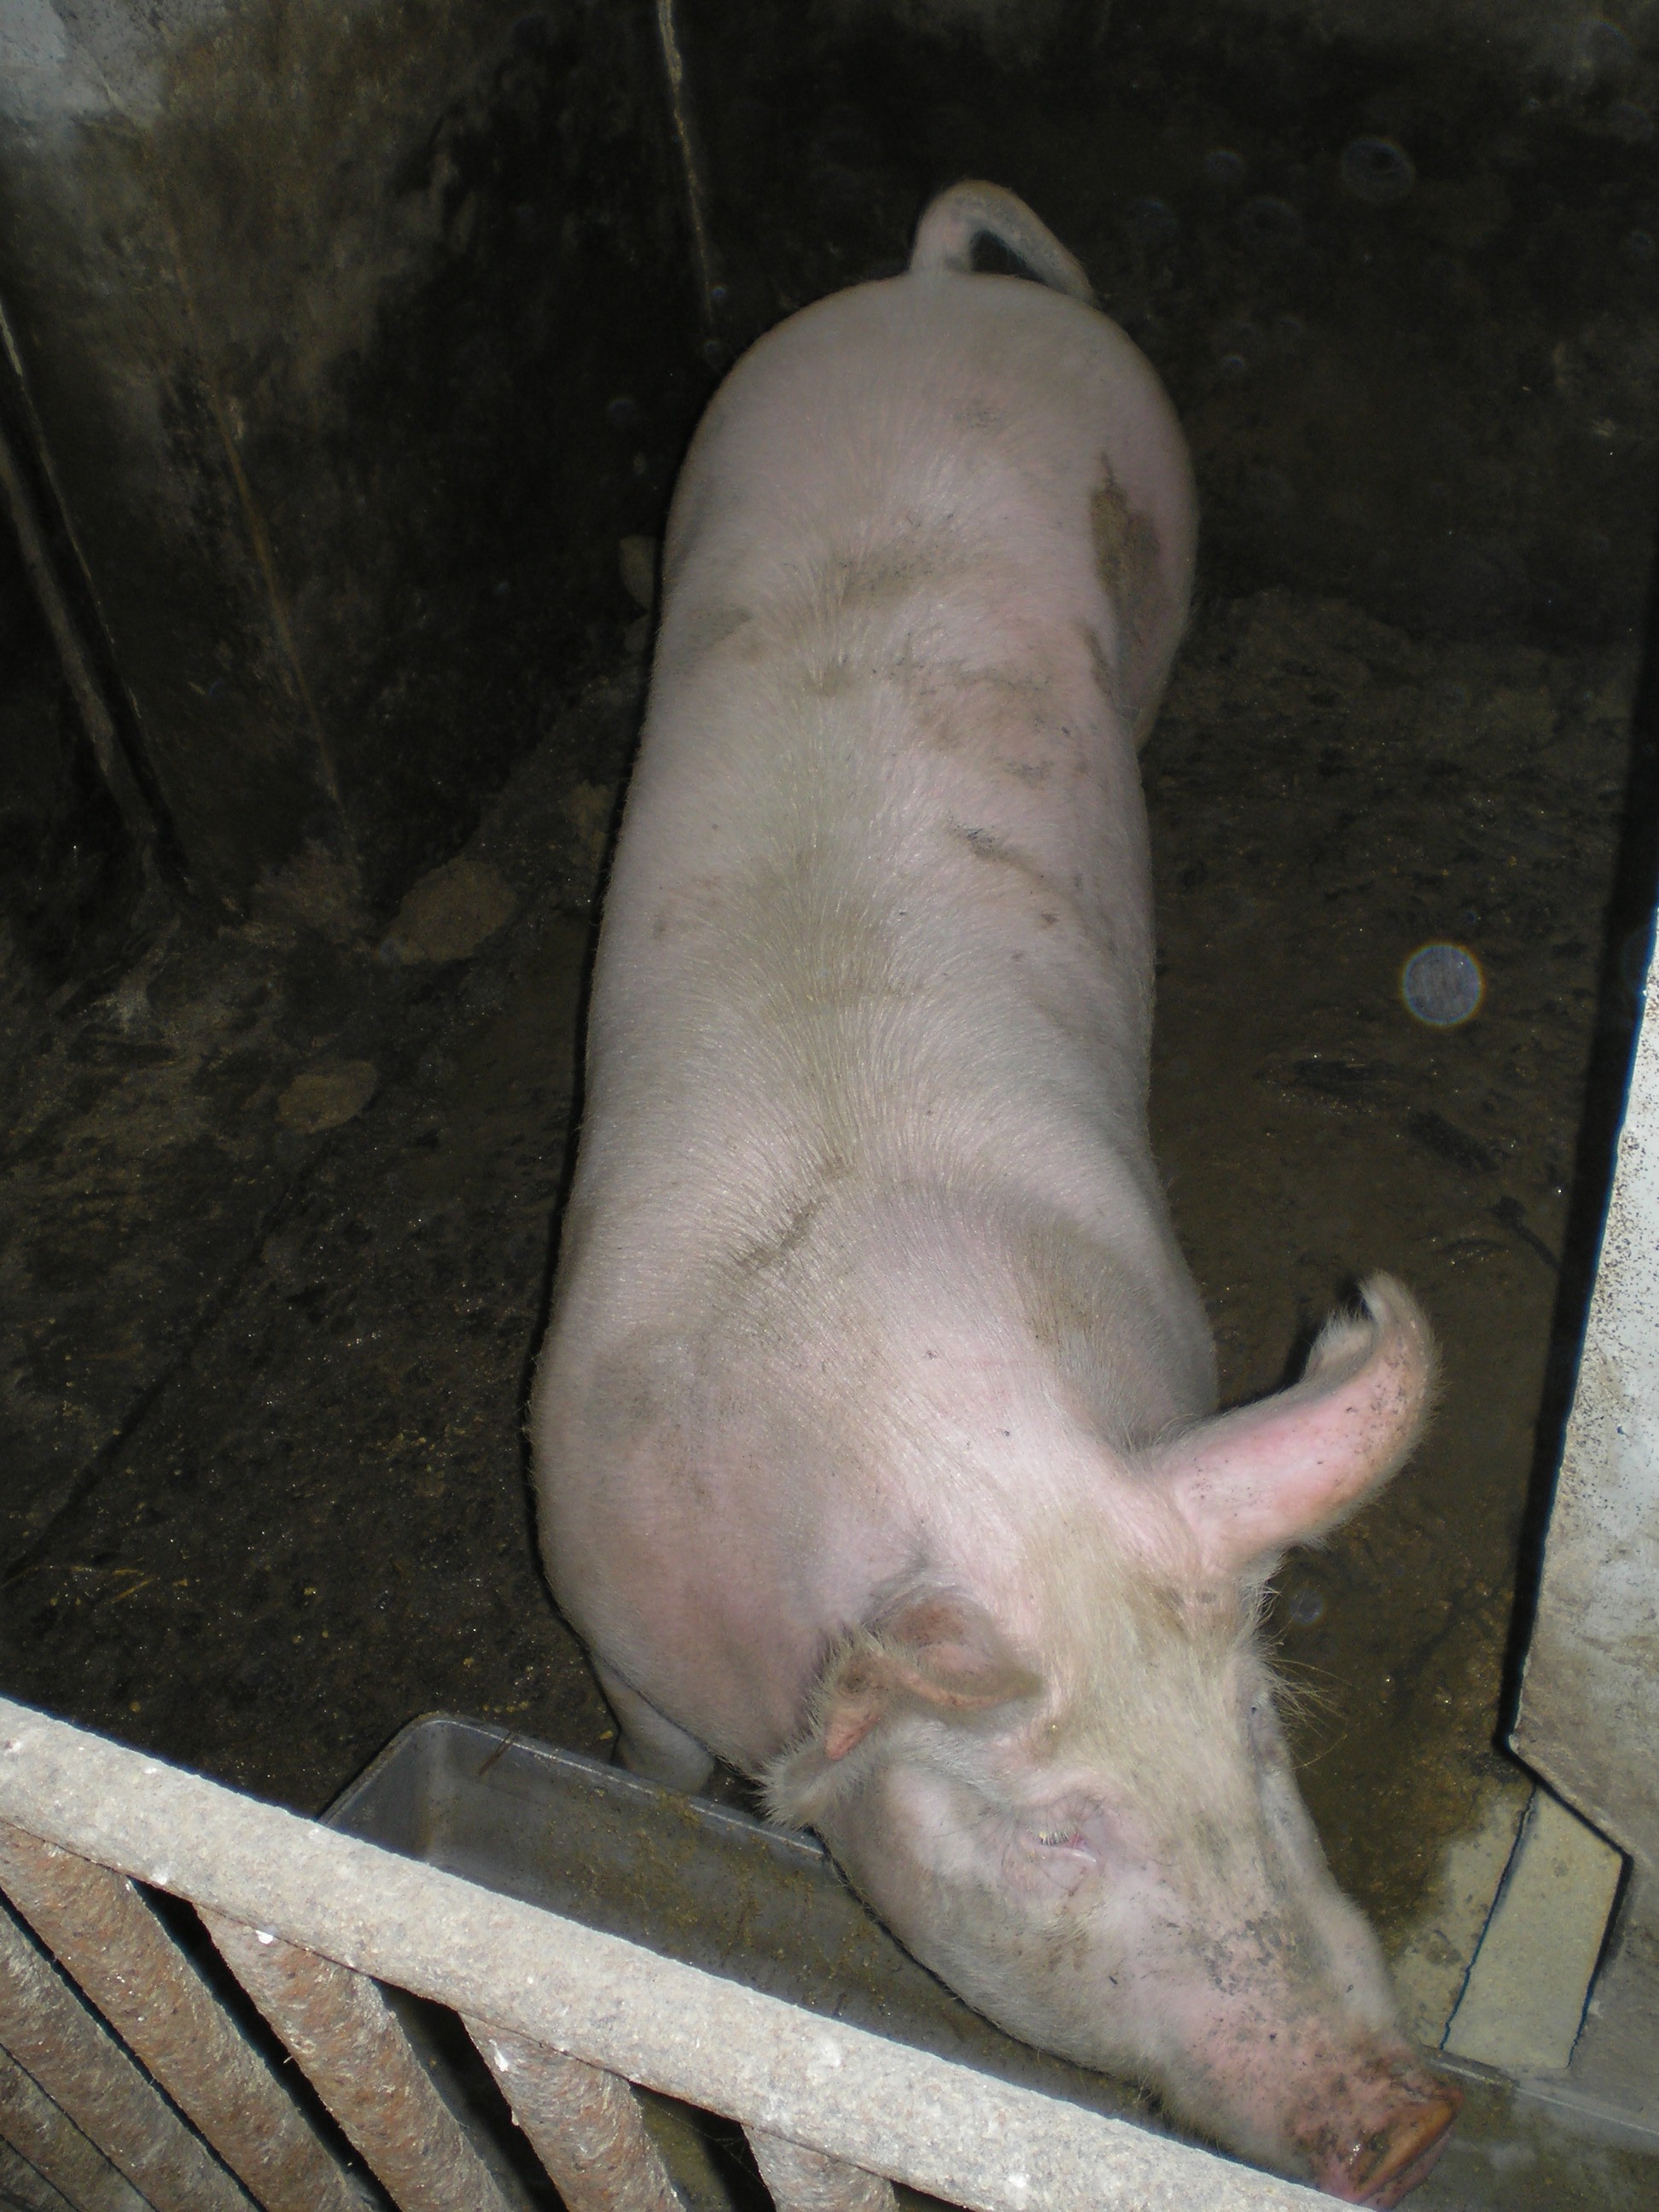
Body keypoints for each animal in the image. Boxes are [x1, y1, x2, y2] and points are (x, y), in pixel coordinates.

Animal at [533, 181, 1460, 2204]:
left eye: (1261, 1729)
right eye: (1051, 1835)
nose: (1404, 2116)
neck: (948, 1432)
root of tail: (927, 292)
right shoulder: (606, 1618)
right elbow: (652, 1774)